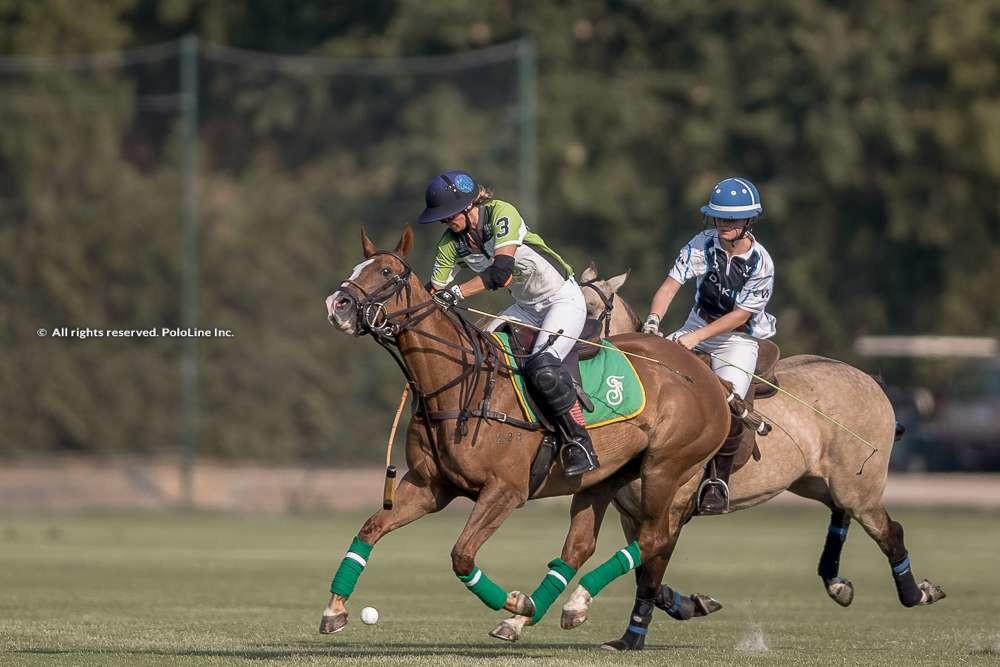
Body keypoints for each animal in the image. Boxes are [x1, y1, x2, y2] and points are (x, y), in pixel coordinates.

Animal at [324, 230, 732, 640]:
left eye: (386, 271)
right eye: (357, 267)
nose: (336, 305)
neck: (458, 383)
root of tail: (706, 374)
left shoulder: (505, 490)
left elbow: (462, 556)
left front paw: (518, 602)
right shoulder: (429, 485)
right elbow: (370, 530)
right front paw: (335, 609)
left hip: (666, 468)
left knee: (654, 538)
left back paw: (555, 605)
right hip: (606, 478)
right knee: (582, 546)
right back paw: (562, 608)